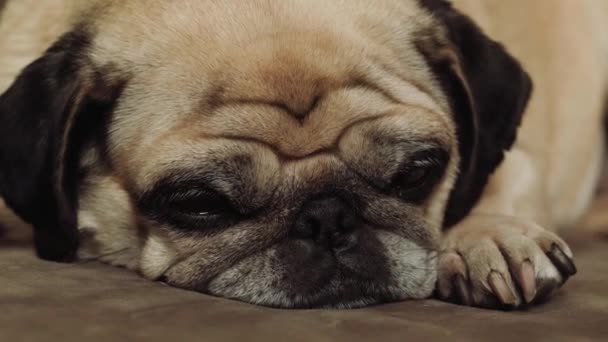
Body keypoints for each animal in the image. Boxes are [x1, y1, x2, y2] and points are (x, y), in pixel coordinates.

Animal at [0, 0, 604, 308]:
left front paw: (489, 238)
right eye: (198, 203)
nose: (327, 216)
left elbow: (488, 183)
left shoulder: (517, 158)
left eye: (416, 171)